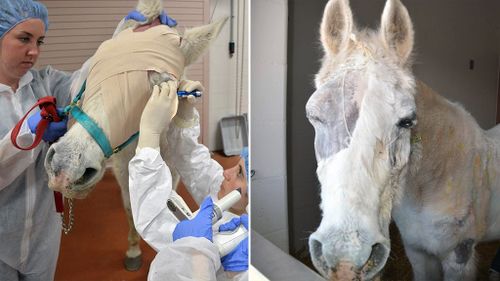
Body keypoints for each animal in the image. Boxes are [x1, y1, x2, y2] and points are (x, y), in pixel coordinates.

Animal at [43, 0, 227, 272]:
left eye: (159, 87)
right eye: (95, 70)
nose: (65, 165)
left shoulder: (174, 167)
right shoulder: (122, 164)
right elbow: (131, 206)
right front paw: (133, 250)